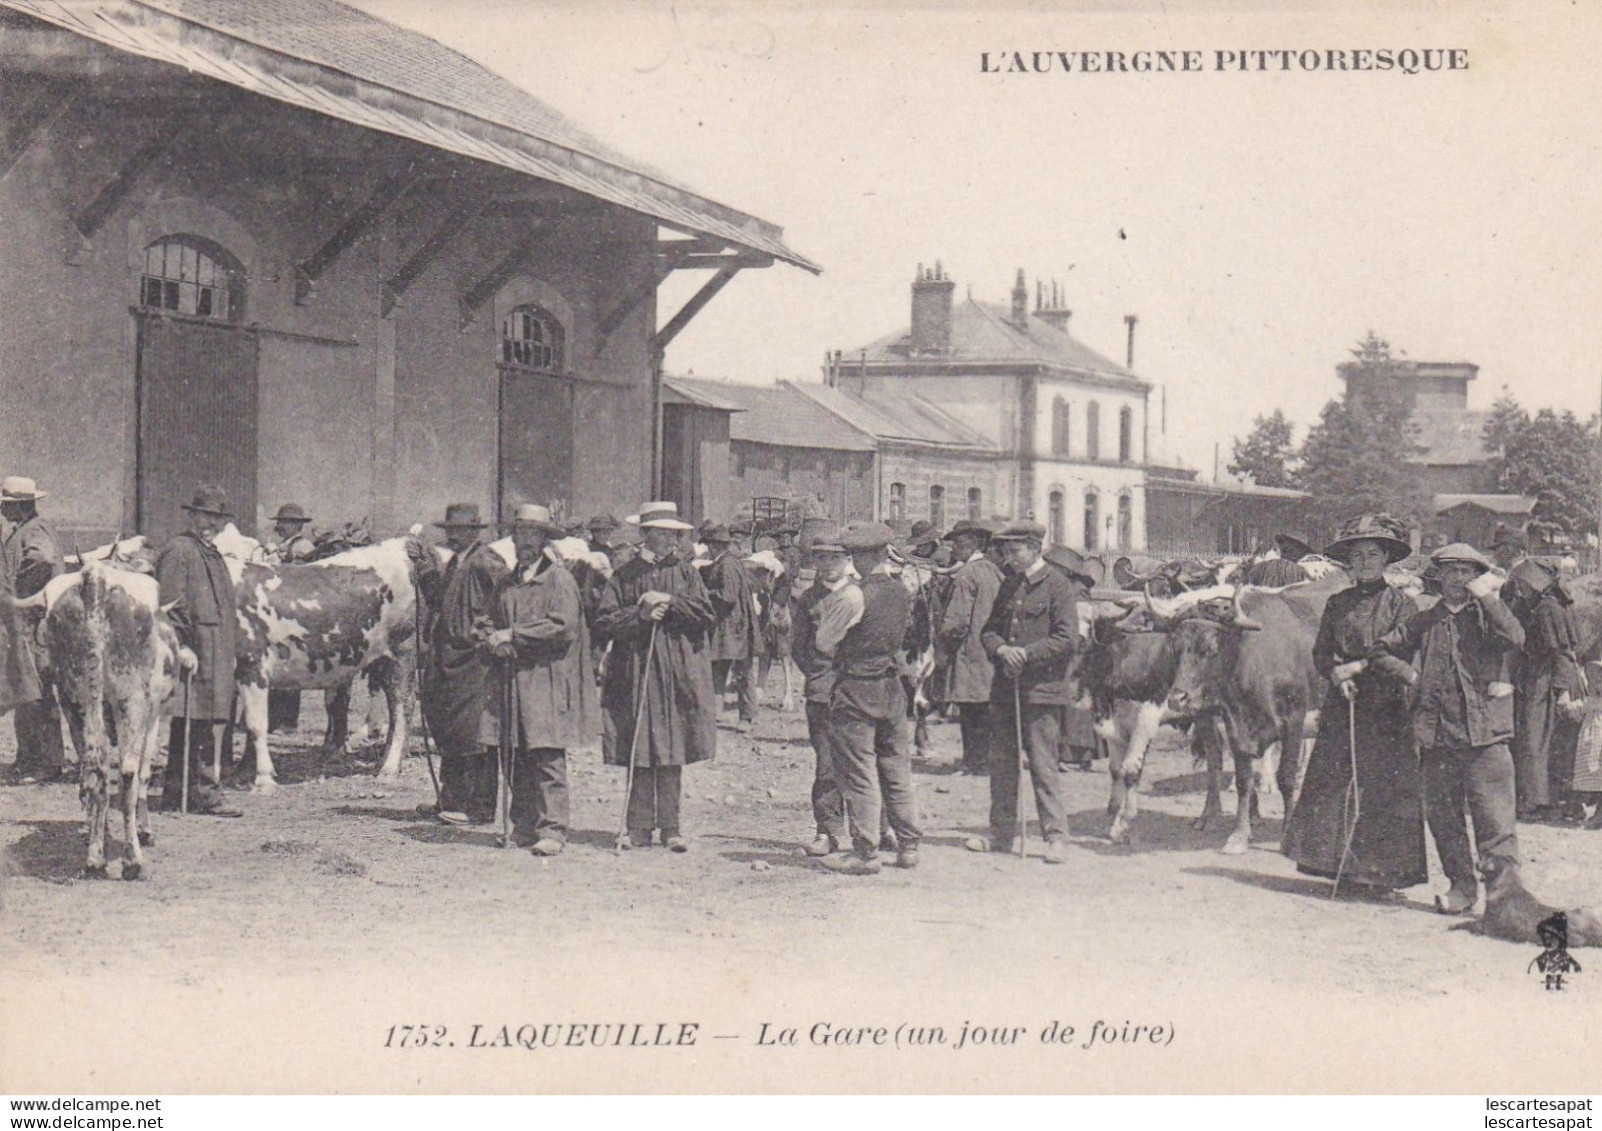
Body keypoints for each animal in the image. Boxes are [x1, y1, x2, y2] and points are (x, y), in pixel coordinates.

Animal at [33, 560, 180, 877]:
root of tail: (95, 576)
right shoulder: (153, 714)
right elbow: (144, 773)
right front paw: (146, 832)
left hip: (74, 701)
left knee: (96, 771)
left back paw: (95, 856)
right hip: (131, 700)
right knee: (127, 774)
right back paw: (132, 860)